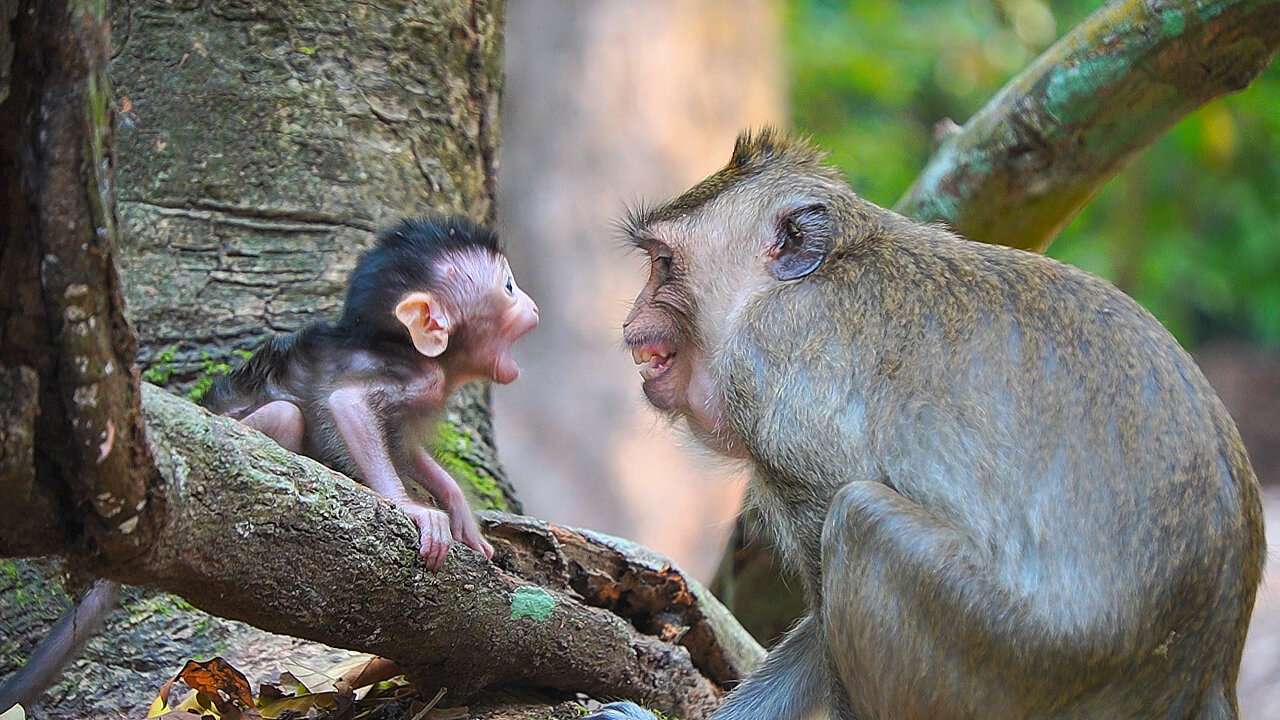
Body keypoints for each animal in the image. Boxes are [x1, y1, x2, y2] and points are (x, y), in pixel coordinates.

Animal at [203, 212, 540, 566]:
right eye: (509, 287)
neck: (408, 349)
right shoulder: (420, 377)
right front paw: (410, 507)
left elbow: (407, 450)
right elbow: (347, 403)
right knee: (286, 415)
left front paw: (460, 510)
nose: (533, 306)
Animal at [591, 128, 1269, 717]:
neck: (801, 283)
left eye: (664, 264)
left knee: (860, 517)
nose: (630, 319)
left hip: (1009, 659)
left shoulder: (772, 389)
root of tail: (1207, 670)